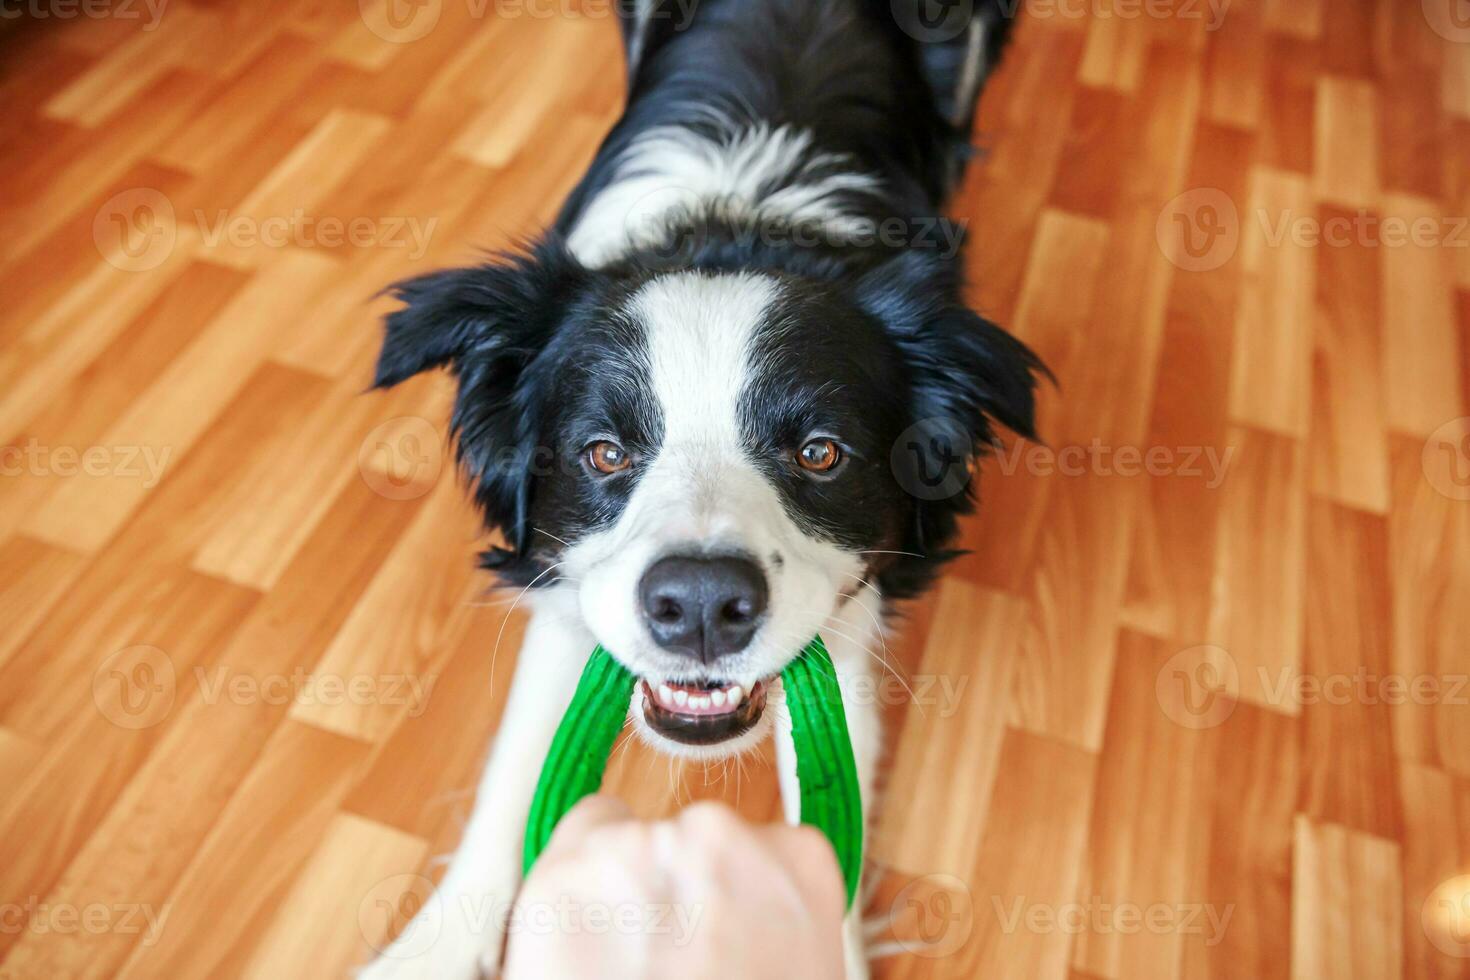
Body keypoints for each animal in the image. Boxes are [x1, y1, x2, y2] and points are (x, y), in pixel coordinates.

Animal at [363, 3, 1040, 975]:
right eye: (604, 453)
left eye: (821, 453)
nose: (702, 607)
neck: (738, 219)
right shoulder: (570, 589)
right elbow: (512, 774)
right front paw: (430, 949)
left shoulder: (840, 619)